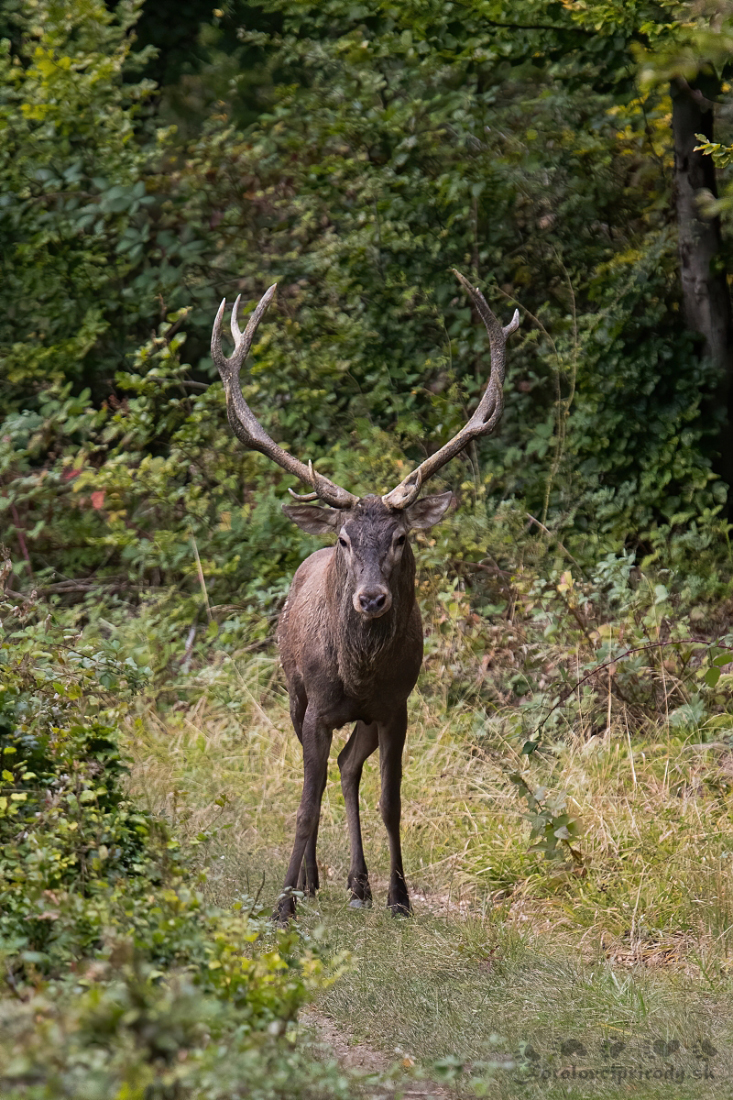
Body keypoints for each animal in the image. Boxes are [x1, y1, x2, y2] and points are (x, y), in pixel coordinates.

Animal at [211, 268, 519, 919]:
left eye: (401, 537)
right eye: (347, 538)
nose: (372, 599)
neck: (357, 673)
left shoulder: (396, 706)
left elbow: (390, 802)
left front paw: (399, 898)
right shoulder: (316, 707)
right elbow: (305, 805)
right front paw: (283, 905)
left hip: (371, 717)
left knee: (350, 768)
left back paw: (359, 886)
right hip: (292, 693)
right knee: (325, 772)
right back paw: (311, 882)